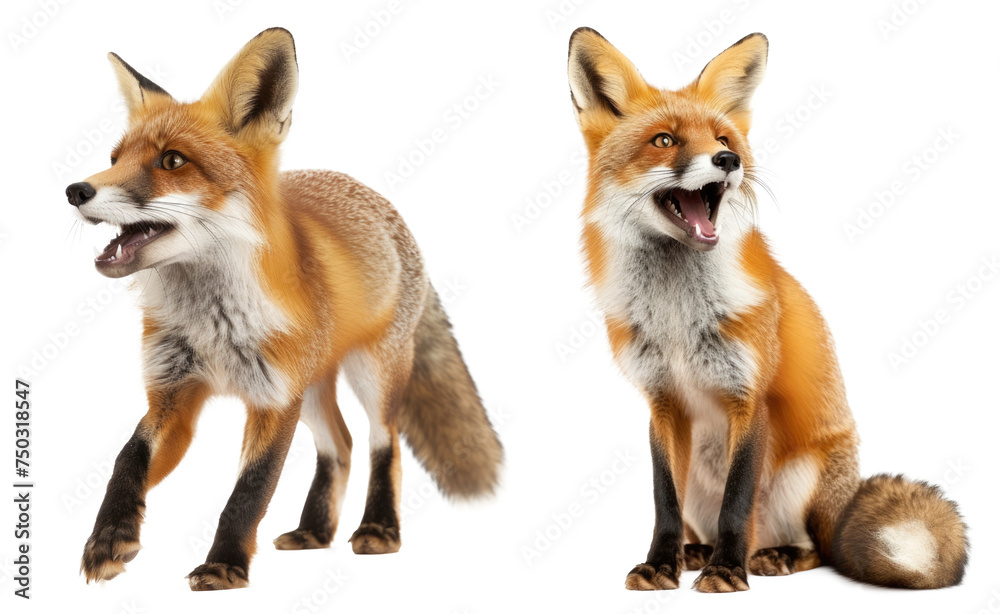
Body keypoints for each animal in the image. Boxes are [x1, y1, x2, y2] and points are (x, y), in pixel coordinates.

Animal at [65, 27, 502, 591]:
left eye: (172, 161)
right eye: (114, 156)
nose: (76, 190)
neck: (213, 324)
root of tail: (380, 201)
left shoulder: (273, 400)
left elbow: (249, 491)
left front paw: (224, 565)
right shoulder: (173, 394)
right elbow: (127, 458)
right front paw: (108, 539)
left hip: (371, 374)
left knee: (383, 442)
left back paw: (378, 529)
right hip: (311, 390)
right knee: (340, 444)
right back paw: (315, 530)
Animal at [566, 28, 968, 593]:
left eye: (723, 141)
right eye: (664, 140)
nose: (727, 162)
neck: (677, 319)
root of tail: (841, 509)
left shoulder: (749, 394)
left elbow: (738, 501)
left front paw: (727, 571)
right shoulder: (662, 402)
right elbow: (663, 502)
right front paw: (661, 565)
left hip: (804, 478)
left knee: (819, 549)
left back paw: (769, 556)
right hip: (700, 482)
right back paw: (695, 552)